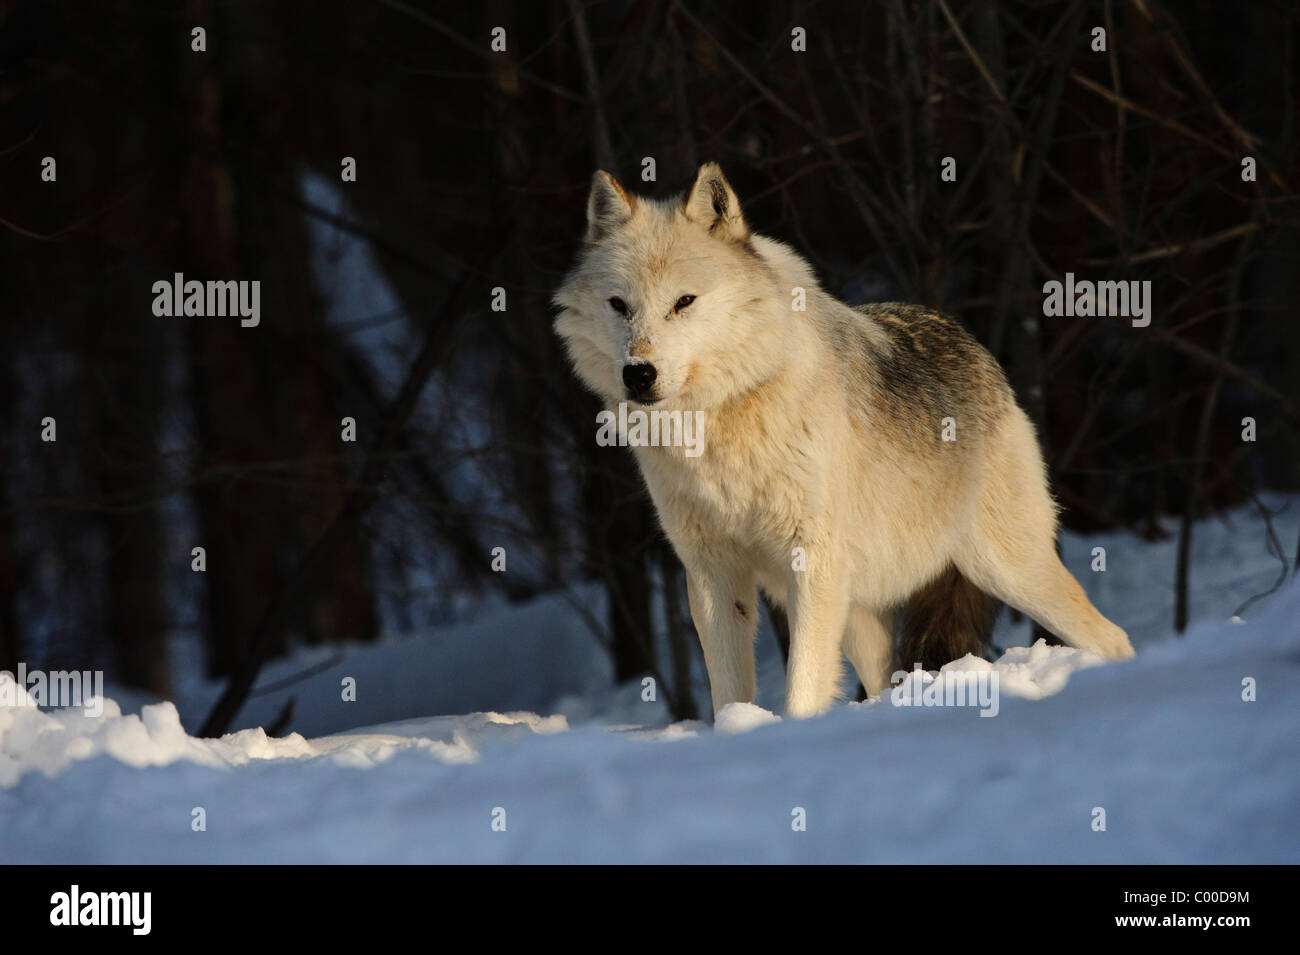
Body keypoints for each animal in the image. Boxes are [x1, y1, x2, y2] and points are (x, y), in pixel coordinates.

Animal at [553, 166, 1133, 717]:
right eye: (619, 305)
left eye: (683, 302)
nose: (638, 374)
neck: (721, 420)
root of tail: (972, 344)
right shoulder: (713, 573)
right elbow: (729, 693)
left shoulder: (812, 561)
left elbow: (803, 685)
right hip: (864, 616)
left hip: (1007, 569)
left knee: (1113, 637)